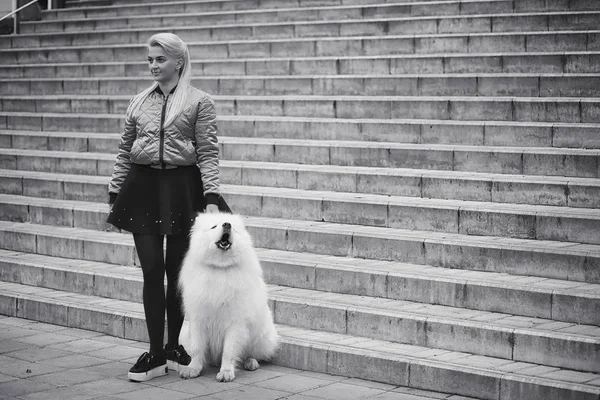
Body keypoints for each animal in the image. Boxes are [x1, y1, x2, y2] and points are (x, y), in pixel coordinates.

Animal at [178, 211, 278, 382]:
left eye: (233, 227)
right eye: (214, 226)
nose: (227, 225)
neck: (220, 268)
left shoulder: (236, 323)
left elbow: (229, 351)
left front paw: (226, 372)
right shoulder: (198, 319)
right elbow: (197, 348)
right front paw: (193, 369)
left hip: (260, 336)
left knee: (253, 354)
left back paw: (251, 363)